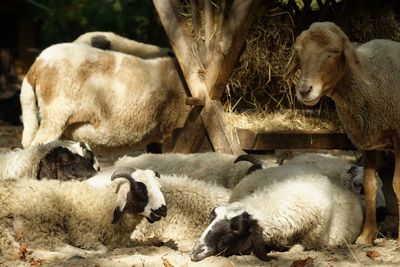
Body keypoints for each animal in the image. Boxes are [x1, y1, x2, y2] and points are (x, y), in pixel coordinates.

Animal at [284, 22, 400, 246]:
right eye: (299, 51)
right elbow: (371, 186)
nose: (304, 90)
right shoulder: (369, 142)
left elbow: (398, 185)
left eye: (335, 52)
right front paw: (366, 236)